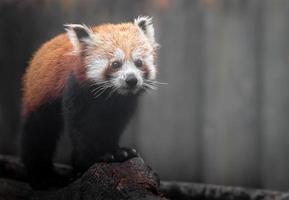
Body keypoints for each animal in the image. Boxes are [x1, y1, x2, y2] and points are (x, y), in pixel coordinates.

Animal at [20, 16, 159, 189]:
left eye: (139, 62)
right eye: (115, 64)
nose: (131, 80)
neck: (109, 97)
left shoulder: (122, 105)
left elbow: (112, 127)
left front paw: (118, 151)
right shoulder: (76, 90)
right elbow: (81, 128)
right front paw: (91, 158)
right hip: (40, 94)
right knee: (39, 131)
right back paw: (42, 176)